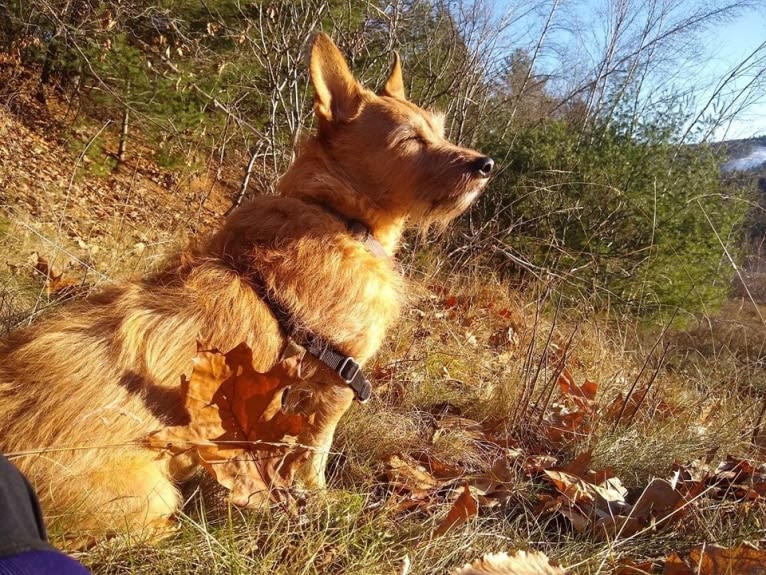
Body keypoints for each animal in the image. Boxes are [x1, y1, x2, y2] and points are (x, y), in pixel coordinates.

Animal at [0, 33, 496, 544]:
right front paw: (321, 499)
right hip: (149, 498)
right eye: (410, 140)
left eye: (438, 131)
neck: (339, 216)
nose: (486, 165)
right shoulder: (337, 378)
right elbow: (314, 452)